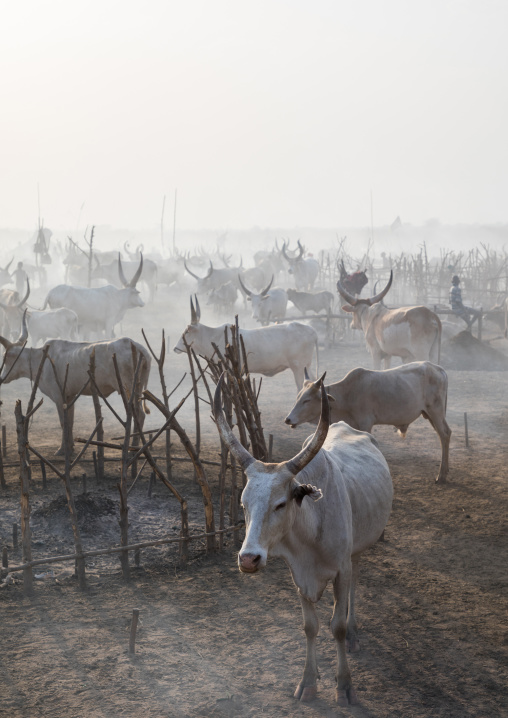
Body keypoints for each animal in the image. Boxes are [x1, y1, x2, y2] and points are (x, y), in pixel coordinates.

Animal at [0, 312, 151, 455]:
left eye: (6, 357)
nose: (2, 377)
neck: (42, 359)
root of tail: (139, 348)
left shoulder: (58, 396)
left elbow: (63, 422)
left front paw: (62, 450)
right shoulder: (69, 396)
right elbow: (70, 422)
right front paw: (70, 448)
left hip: (129, 387)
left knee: (139, 413)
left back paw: (134, 448)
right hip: (138, 387)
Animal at [174, 296, 318, 389]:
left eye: (186, 331)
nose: (175, 348)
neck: (214, 335)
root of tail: (311, 330)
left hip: (298, 368)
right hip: (307, 366)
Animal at [213, 374, 393, 705]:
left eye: (280, 504)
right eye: (243, 504)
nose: (248, 559)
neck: (311, 531)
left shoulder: (340, 570)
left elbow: (336, 626)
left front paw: (344, 685)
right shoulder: (297, 574)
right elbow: (310, 627)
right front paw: (309, 681)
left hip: (358, 550)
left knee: (354, 587)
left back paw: (354, 633)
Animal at [285, 362, 451, 483]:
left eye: (307, 400)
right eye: (298, 397)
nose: (288, 419)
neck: (347, 394)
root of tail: (439, 369)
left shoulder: (366, 423)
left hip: (435, 411)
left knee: (444, 434)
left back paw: (442, 475)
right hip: (429, 414)